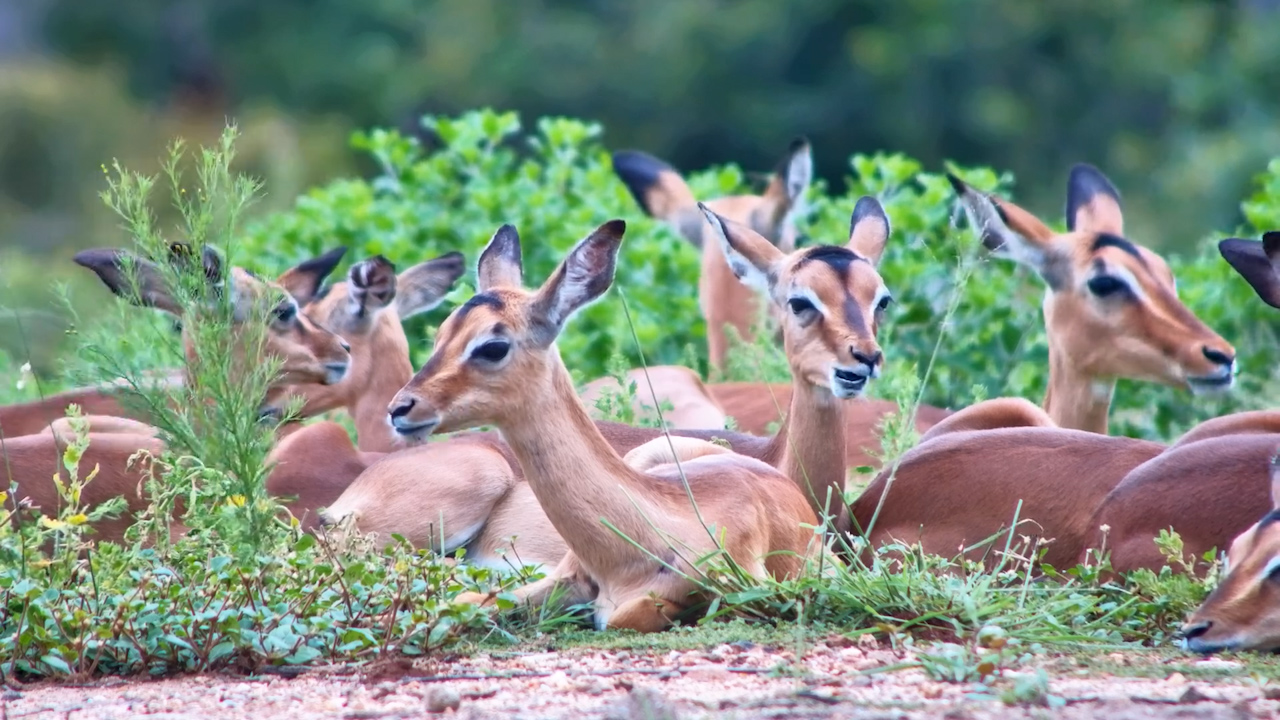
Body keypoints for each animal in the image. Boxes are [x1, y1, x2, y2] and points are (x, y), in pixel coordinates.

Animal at [384, 220, 821, 631]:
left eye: (493, 346)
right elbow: (467, 601)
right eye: (442, 334)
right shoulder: (562, 577)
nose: (400, 408)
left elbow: (624, 614)